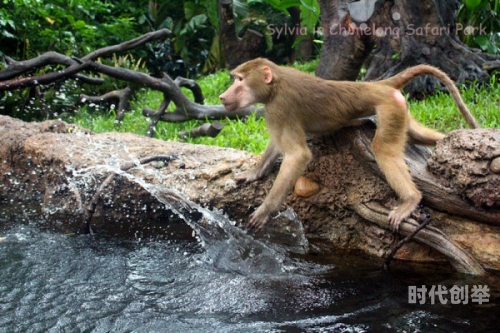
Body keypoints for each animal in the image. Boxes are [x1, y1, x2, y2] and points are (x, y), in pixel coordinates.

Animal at [220, 57, 480, 231]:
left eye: (240, 80)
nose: (223, 96)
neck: (275, 83)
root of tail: (379, 85)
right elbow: (279, 145)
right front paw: (253, 173)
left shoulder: (280, 107)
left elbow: (298, 155)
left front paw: (265, 210)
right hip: (400, 109)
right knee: (418, 136)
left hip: (389, 107)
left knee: (383, 149)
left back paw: (411, 200)